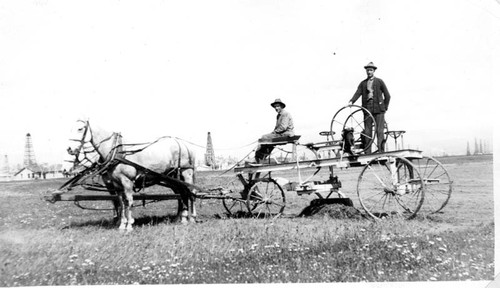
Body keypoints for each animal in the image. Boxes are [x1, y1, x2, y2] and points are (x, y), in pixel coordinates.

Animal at [68, 120, 197, 231]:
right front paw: (122, 225)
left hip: (186, 172)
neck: (117, 152)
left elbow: (129, 201)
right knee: (182, 194)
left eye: (80, 129)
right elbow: (121, 202)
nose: (69, 149)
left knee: (191, 193)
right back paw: (182, 218)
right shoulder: (116, 184)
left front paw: (129, 225)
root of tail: (184, 144)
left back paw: (192, 218)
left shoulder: (127, 181)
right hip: (173, 177)